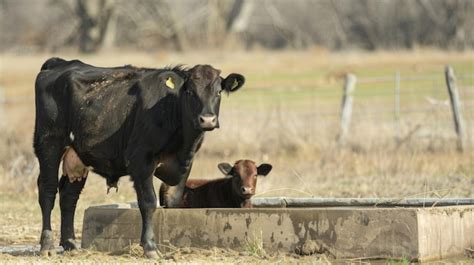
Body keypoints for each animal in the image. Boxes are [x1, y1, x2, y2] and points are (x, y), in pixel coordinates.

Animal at [33, 57, 244, 256]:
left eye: (218, 92)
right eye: (190, 92)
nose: (207, 120)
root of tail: (60, 63)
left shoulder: (185, 164)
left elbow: (174, 201)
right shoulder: (141, 161)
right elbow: (149, 202)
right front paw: (149, 246)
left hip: (77, 156)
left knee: (69, 195)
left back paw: (70, 244)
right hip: (48, 145)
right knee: (48, 191)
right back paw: (47, 245)